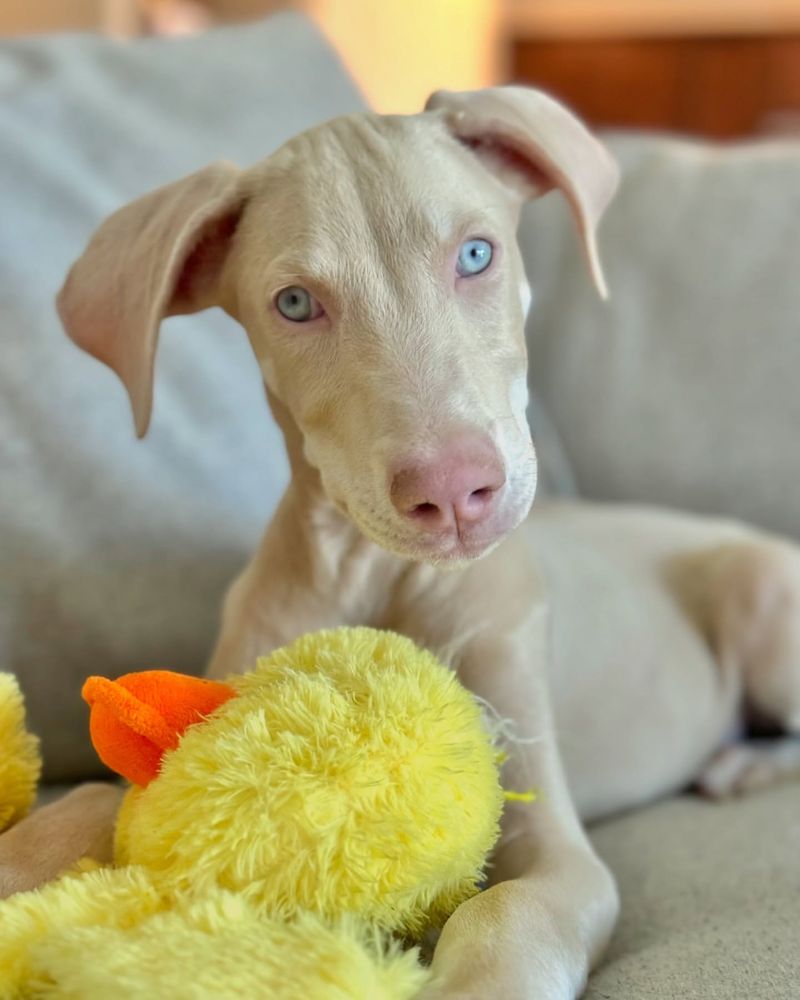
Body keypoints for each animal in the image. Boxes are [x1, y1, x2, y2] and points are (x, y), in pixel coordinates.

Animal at [4, 90, 800, 996]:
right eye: (294, 304)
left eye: (478, 254)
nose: (454, 492)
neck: (377, 573)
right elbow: (96, 799)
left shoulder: (556, 846)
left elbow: (506, 912)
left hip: (764, 595)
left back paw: (743, 764)